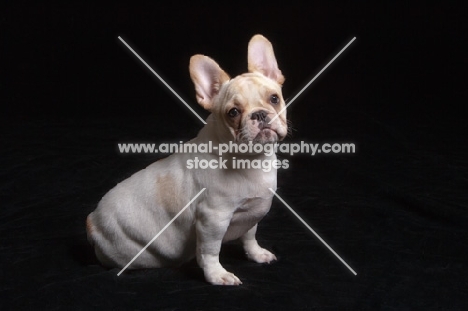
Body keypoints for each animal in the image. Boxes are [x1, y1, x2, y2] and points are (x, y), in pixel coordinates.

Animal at [86, 34, 288, 286]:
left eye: (274, 98)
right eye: (233, 112)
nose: (259, 114)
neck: (251, 158)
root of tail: (92, 222)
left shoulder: (252, 213)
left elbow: (250, 236)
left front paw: (256, 254)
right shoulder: (212, 219)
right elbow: (210, 251)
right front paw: (217, 275)